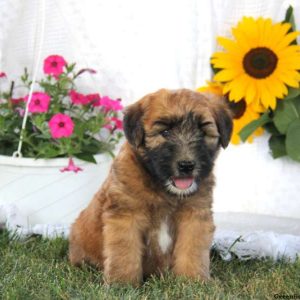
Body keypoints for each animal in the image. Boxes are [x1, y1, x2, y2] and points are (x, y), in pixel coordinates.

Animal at [69, 88, 233, 284]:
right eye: (166, 131)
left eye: (202, 133)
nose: (186, 165)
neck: (162, 189)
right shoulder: (125, 217)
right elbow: (124, 252)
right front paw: (122, 283)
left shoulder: (194, 217)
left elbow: (192, 250)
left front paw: (193, 281)